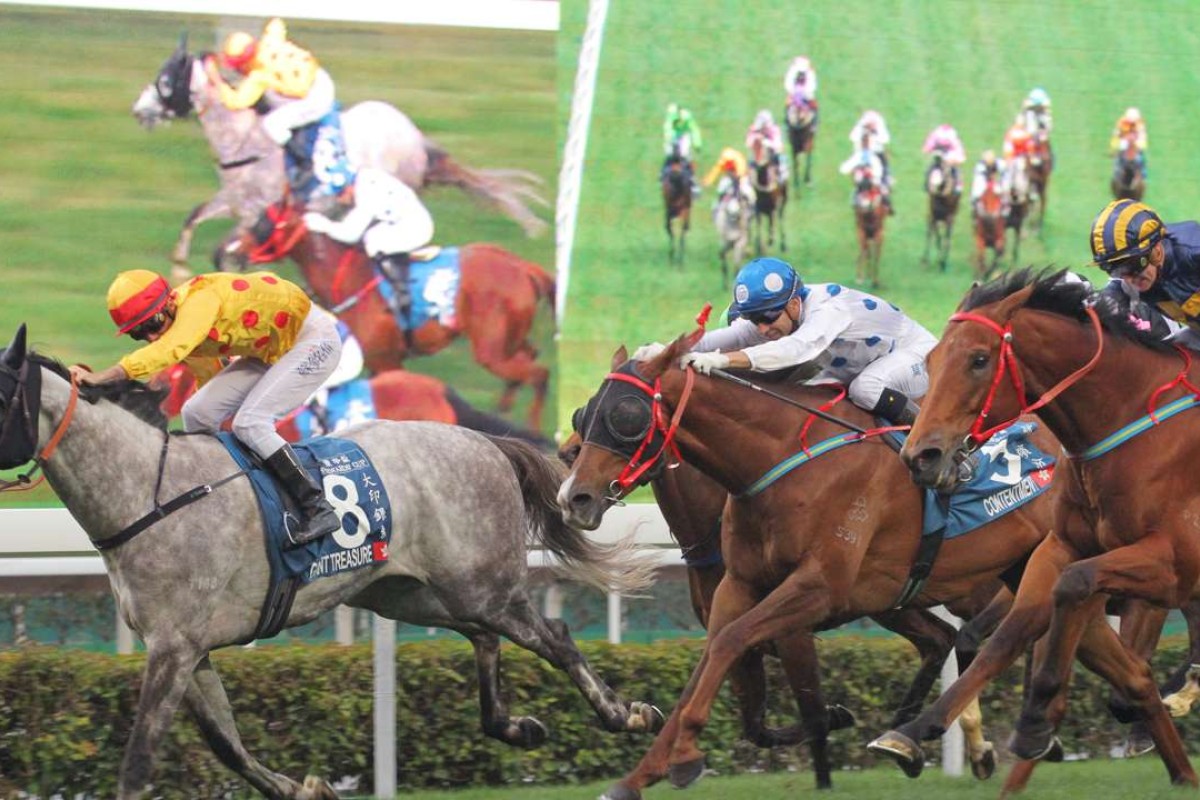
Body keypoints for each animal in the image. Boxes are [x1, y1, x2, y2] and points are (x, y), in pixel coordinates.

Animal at [0, 323, 662, 800]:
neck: (149, 493)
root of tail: (485, 442)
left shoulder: (176, 645)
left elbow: (140, 761)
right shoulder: (184, 647)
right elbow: (225, 744)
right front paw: (306, 787)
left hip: (483, 585)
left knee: (555, 636)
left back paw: (628, 715)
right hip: (411, 592)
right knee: (485, 637)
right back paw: (517, 726)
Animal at [132, 37, 549, 273]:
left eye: (165, 81)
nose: (138, 111)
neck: (247, 141)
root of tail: (413, 136)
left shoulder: (259, 211)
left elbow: (227, 251)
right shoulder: (233, 201)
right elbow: (194, 219)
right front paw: (180, 269)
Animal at [234, 199, 552, 431]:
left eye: (263, 223)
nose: (233, 249)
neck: (353, 278)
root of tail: (524, 267)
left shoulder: (387, 360)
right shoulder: (377, 363)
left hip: (492, 351)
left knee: (539, 374)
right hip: (510, 341)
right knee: (530, 359)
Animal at [552, 338, 1060, 800]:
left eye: (626, 416)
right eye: (586, 413)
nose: (573, 496)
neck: (777, 464)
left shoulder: (814, 592)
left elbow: (744, 653)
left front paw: (690, 758)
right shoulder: (739, 587)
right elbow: (713, 663)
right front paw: (642, 773)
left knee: (999, 632)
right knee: (952, 638)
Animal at [873, 271, 1200, 796]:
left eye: (979, 359)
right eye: (932, 360)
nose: (920, 456)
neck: (1129, 419)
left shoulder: (1173, 564)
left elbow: (1073, 586)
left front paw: (1034, 724)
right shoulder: (1060, 546)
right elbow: (1011, 632)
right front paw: (912, 731)